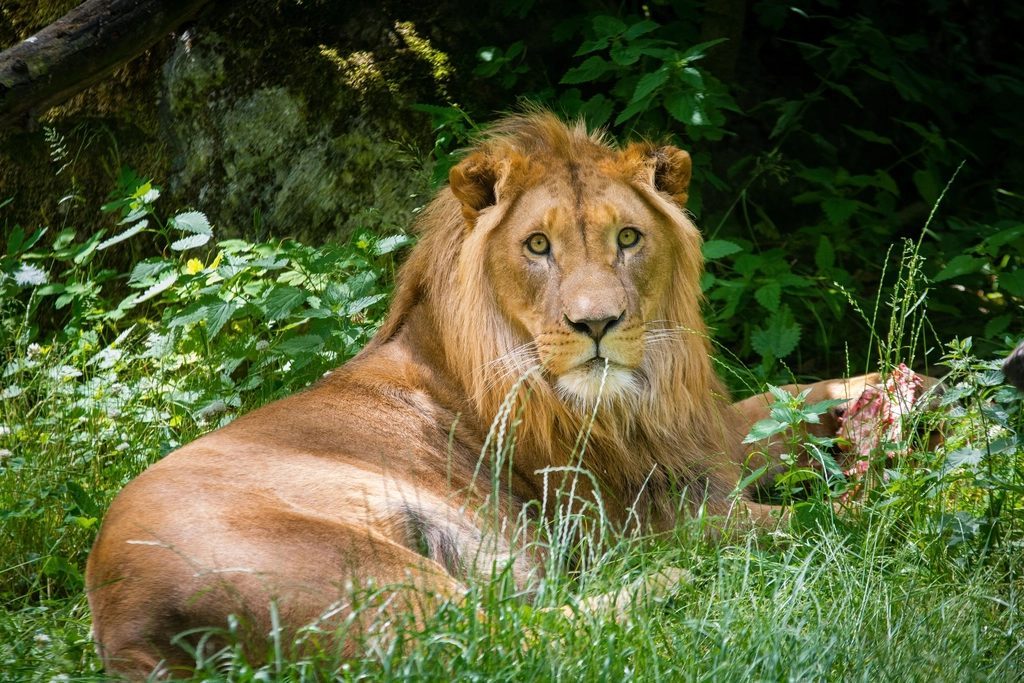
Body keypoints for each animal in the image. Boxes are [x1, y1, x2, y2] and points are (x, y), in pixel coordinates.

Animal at [86, 112, 905, 678]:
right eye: (538, 246)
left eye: (629, 239)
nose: (597, 323)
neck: (630, 398)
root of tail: (121, 623)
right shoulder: (652, 516)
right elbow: (826, 522)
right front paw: (896, 496)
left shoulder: (693, 441)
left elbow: (778, 404)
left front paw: (898, 390)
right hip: (367, 569)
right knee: (503, 639)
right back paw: (667, 587)